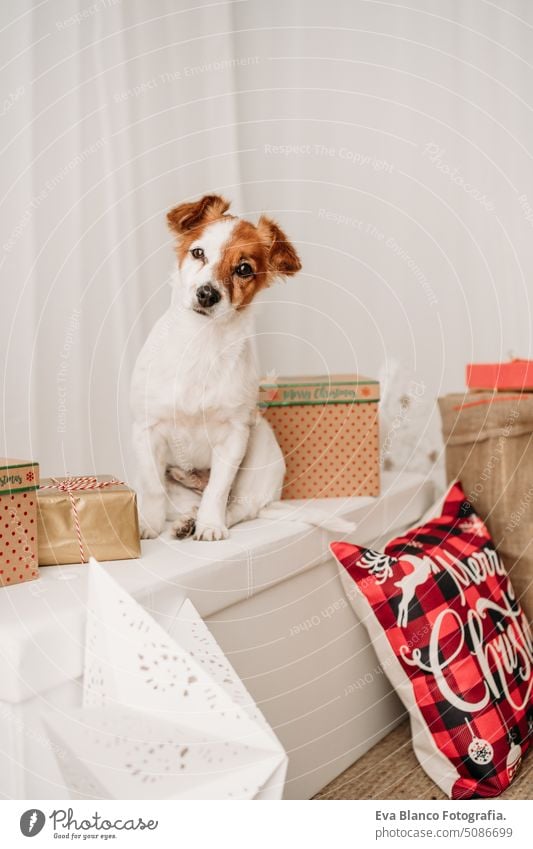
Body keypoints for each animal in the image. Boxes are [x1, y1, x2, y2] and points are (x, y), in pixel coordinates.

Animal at [130, 195, 352, 540]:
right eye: (198, 252)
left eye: (243, 269)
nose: (207, 294)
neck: (201, 343)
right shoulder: (146, 429)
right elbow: (152, 488)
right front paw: (147, 525)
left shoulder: (234, 436)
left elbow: (218, 491)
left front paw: (210, 525)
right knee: (180, 502)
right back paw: (183, 521)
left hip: (258, 441)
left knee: (237, 507)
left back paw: (203, 521)